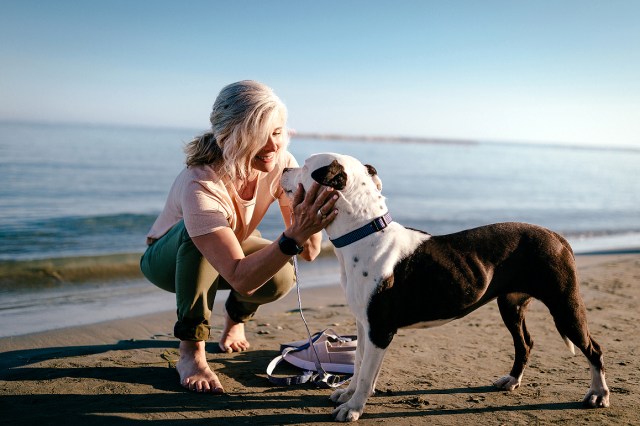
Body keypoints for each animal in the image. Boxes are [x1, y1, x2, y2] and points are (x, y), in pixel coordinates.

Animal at [282, 153, 612, 422]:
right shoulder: (365, 326)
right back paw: (512, 380)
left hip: (564, 305)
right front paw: (349, 394)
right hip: (511, 305)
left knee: (592, 348)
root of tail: (556, 236)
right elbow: (361, 363)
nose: (284, 168)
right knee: (525, 344)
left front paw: (353, 408)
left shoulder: (379, 328)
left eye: (307, 166)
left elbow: (365, 373)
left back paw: (598, 394)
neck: (364, 233)